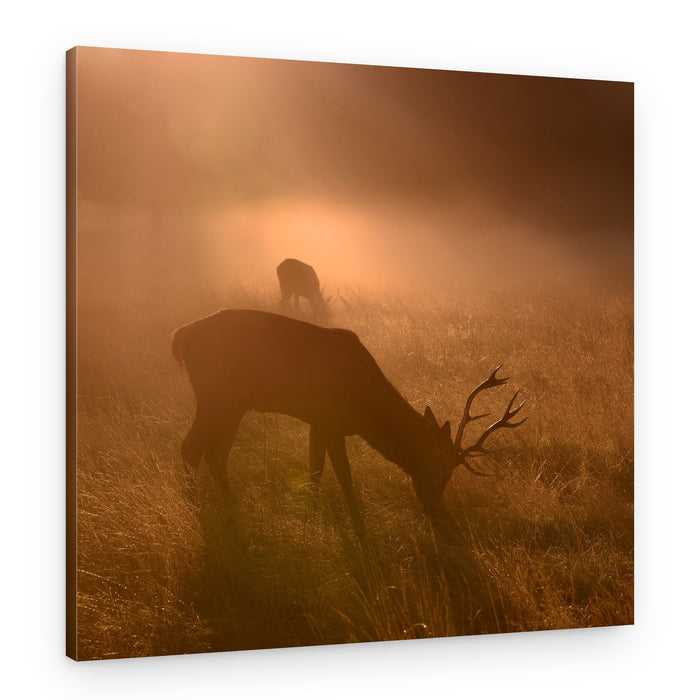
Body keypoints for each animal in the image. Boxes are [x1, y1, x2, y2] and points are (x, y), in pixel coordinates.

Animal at [171, 309, 526, 514]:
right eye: (444, 469)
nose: (435, 508)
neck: (363, 408)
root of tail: (181, 334)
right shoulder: (330, 419)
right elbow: (343, 474)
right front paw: (354, 518)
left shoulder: (318, 421)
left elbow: (315, 469)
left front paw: (311, 513)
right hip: (217, 394)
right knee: (192, 446)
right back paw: (196, 509)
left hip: (232, 401)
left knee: (214, 450)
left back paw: (228, 504)